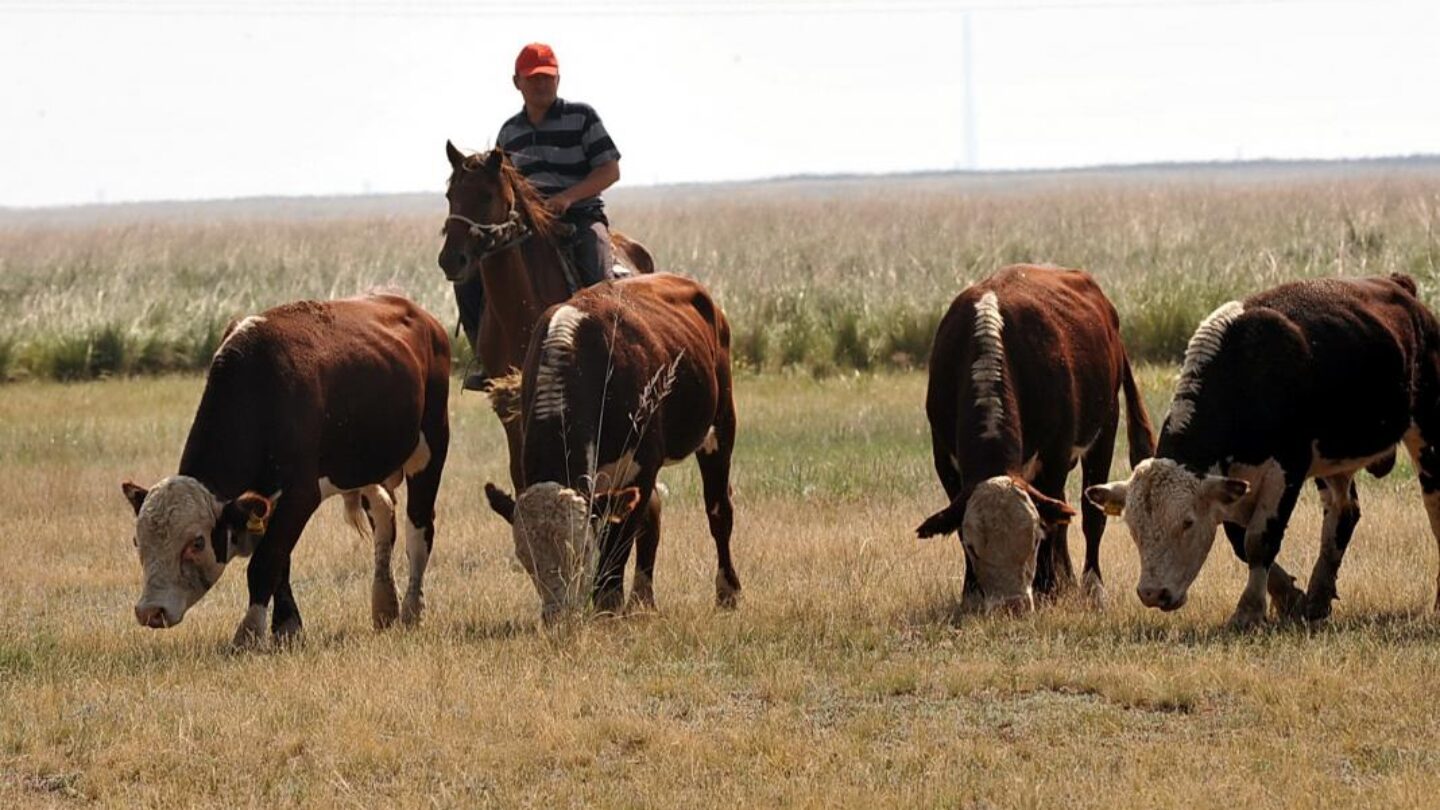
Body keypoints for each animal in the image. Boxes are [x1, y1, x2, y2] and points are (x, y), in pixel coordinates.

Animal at [122, 292, 449, 645]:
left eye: (197, 542)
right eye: (137, 542)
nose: (150, 611)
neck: (259, 389)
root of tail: (422, 316)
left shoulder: (301, 495)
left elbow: (266, 562)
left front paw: (249, 632)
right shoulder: (267, 502)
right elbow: (280, 561)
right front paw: (287, 626)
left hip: (429, 450)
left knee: (419, 531)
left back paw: (412, 611)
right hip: (366, 468)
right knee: (384, 517)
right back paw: (385, 606)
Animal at [434, 140, 656, 484]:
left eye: (486, 194)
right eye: (449, 195)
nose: (451, 260)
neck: (517, 311)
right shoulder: (508, 402)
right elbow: (520, 470)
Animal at [480, 270, 737, 616]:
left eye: (582, 552)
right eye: (525, 559)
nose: (557, 616)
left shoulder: (640, 469)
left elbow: (617, 543)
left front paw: (607, 606)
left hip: (720, 426)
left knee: (718, 510)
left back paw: (727, 592)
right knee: (654, 515)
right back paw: (643, 599)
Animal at [921, 265, 1157, 611]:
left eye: (1032, 540)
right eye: (974, 546)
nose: (1012, 605)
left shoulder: (1055, 454)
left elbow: (1054, 521)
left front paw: (1048, 587)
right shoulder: (945, 460)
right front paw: (971, 592)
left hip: (1105, 427)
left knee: (1089, 517)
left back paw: (1090, 587)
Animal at [1082, 272, 1440, 625]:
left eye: (1187, 523)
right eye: (1134, 528)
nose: (1152, 593)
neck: (1245, 372)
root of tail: (1399, 285)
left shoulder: (1287, 468)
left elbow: (1259, 541)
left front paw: (1249, 610)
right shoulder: (1231, 482)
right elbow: (1239, 541)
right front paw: (1290, 598)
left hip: (1426, 434)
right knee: (1342, 513)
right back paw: (1318, 598)